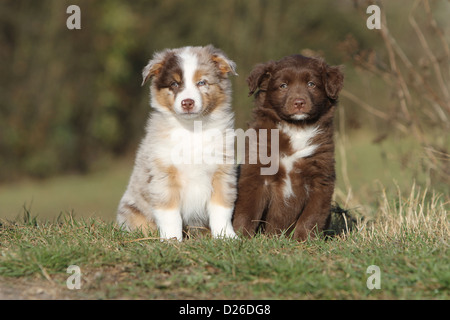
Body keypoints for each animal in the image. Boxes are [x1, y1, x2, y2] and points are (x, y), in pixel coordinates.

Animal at [232, 54, 344, 240]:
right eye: (283, 86)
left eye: (311, 84)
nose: (299, 102)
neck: (296, 127)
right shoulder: (256, 172)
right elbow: (247, 211)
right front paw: (239, 236)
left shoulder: (320, 177)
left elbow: (311, 216)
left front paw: (302, 240)